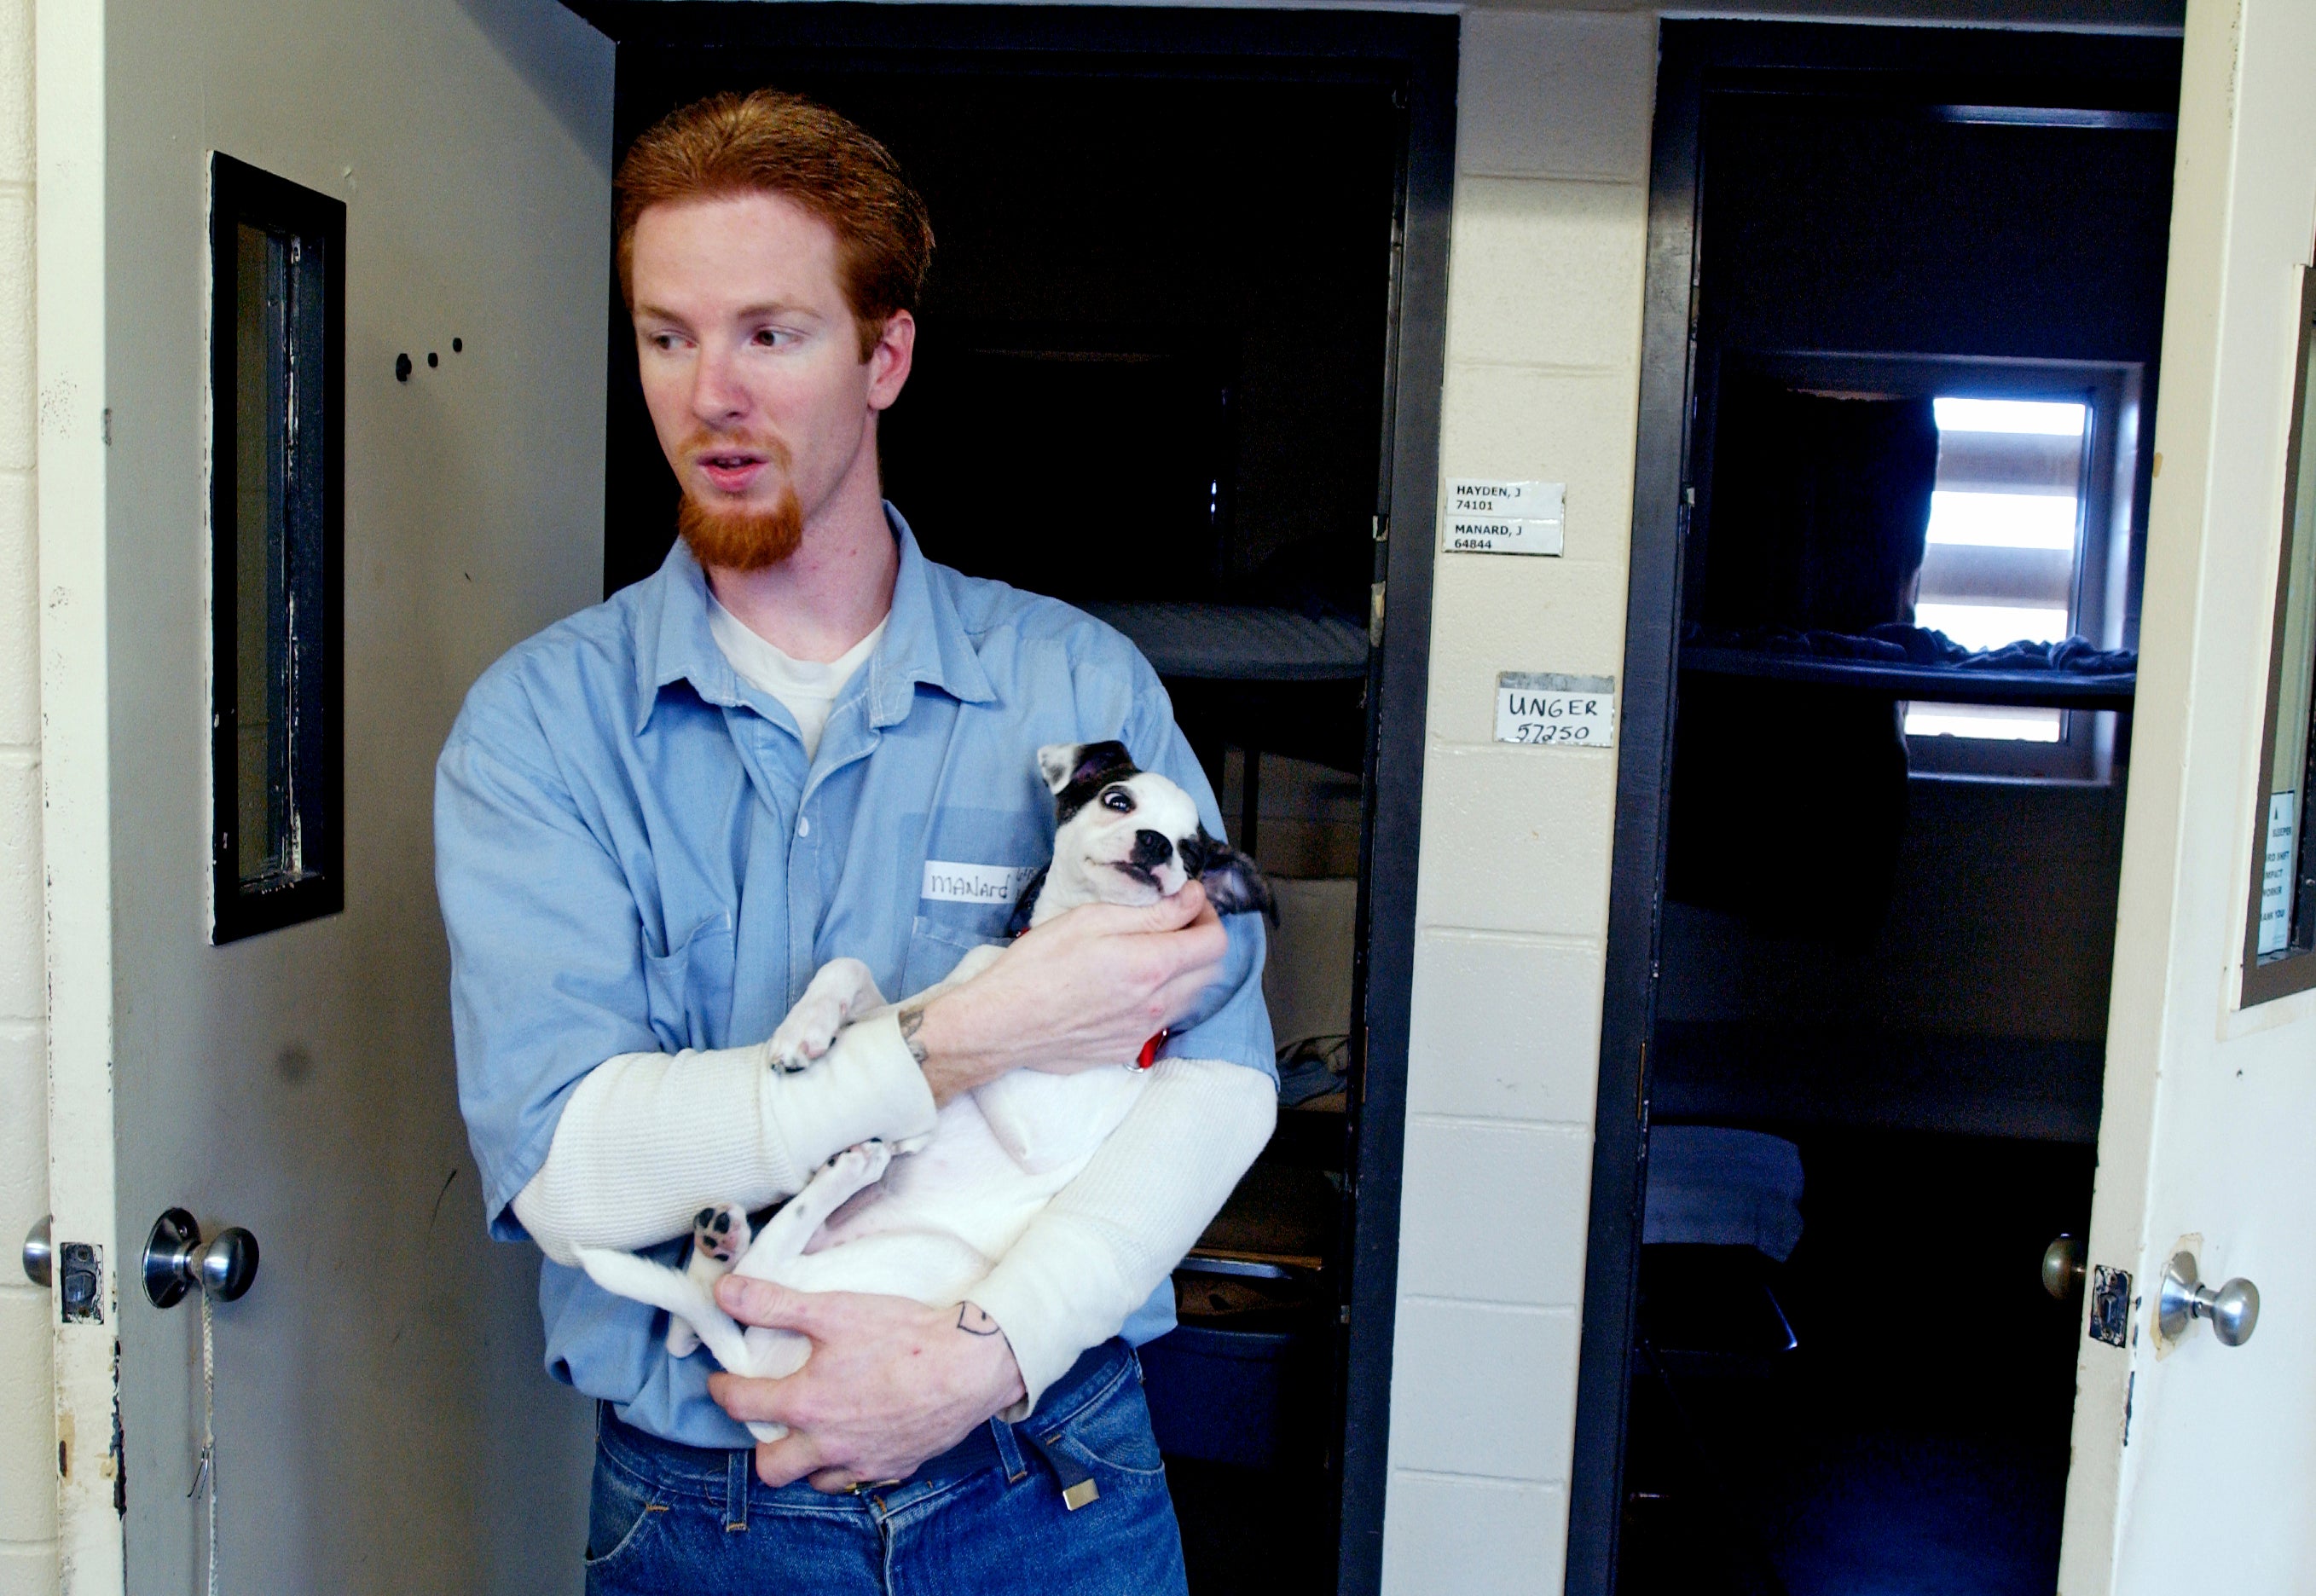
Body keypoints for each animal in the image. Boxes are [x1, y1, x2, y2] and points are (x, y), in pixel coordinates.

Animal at [579, 741, 1269, 1436]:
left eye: (1192, 856)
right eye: (1118, 801)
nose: (1156, 845)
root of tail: (758, 1375)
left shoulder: (1043, 1129)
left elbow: (974, 1016)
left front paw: (910, 1124)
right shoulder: (917, 1003)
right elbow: (862, 978)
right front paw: (806, 1029)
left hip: (923, 1259)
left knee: (744, 1287)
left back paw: (840, 1176)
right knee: (695, 1323)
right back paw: (723, 1239)